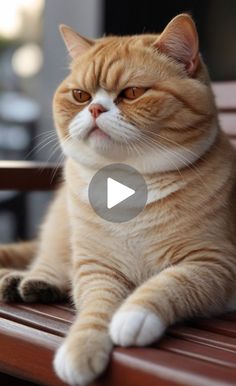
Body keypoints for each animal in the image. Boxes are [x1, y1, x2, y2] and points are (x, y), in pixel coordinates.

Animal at [0, 13, 236, 384]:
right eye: (80, 95)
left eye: (133, 93)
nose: (96, 108)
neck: (128, 184)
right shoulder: (97, 268)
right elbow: (95, 308)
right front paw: (81, 348)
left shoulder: (214, 263)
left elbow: (169, 283)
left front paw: (133, 315)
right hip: (59, 232)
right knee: (47, 261)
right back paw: (27, 281)